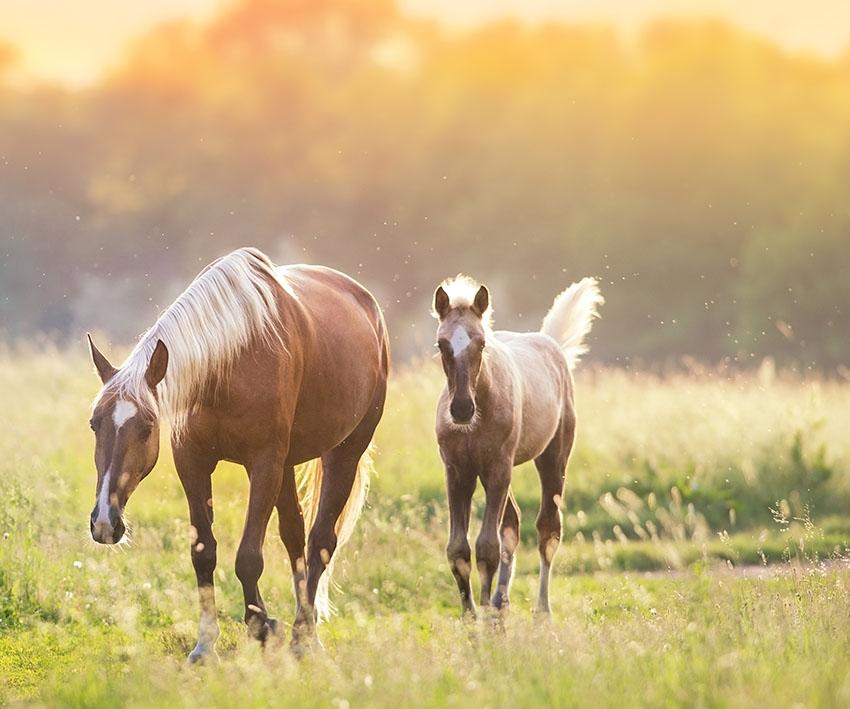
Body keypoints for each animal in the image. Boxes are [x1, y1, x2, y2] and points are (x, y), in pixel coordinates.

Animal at [86, 249, 388, 660]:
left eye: (147, 427)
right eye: (94, 424)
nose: (105, 523)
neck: (228, 365)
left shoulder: (263, 464)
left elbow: (248, 558)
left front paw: (262, 626)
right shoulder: (192, 463)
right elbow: (203, 552)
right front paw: (204, 646)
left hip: (344, 452)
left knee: (320, 543)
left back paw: (303, 636)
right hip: (288, 465)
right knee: (294, 535)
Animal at [434, 274, 600, 616]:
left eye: (481, 343)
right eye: (442, 345)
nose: (461, 409)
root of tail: (550, 342)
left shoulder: (497, 469)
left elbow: (487, 548)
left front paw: (485, 618)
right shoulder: (458, 472)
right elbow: (458, 549)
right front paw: (472, 618)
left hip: (551, 459)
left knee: (548, 528)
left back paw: (542, 613)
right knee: (512, 523)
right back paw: (501, 604)